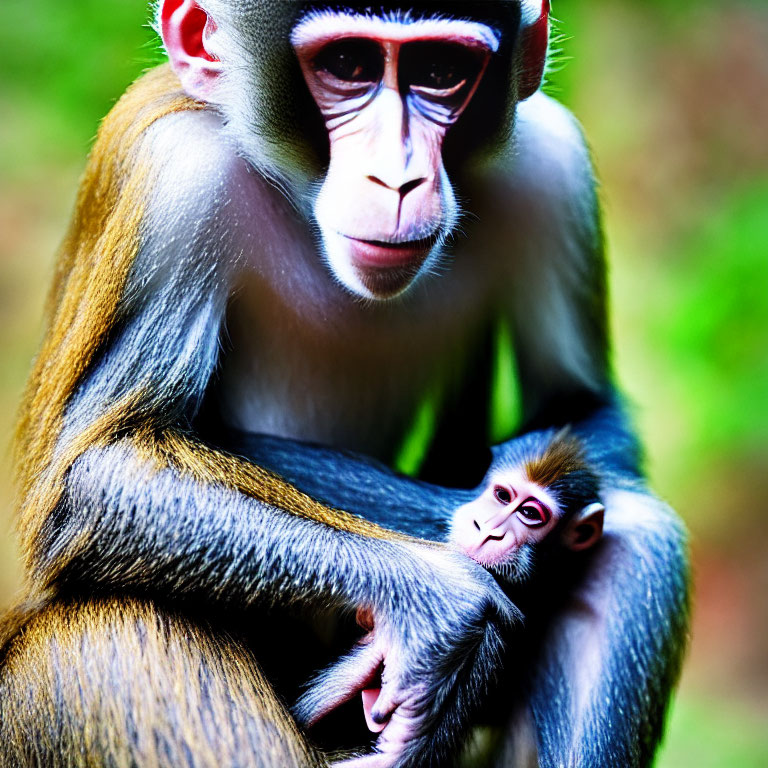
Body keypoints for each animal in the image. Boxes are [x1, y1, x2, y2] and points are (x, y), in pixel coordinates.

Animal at [0, 0, 688, 764]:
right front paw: (441, 599)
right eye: (349, 65)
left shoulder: (553, 160)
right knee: (110, 637)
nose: (398, 179)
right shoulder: (176, 176)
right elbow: (90, 474)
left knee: (640, 539)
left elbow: (584, 407)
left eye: (440, 70)